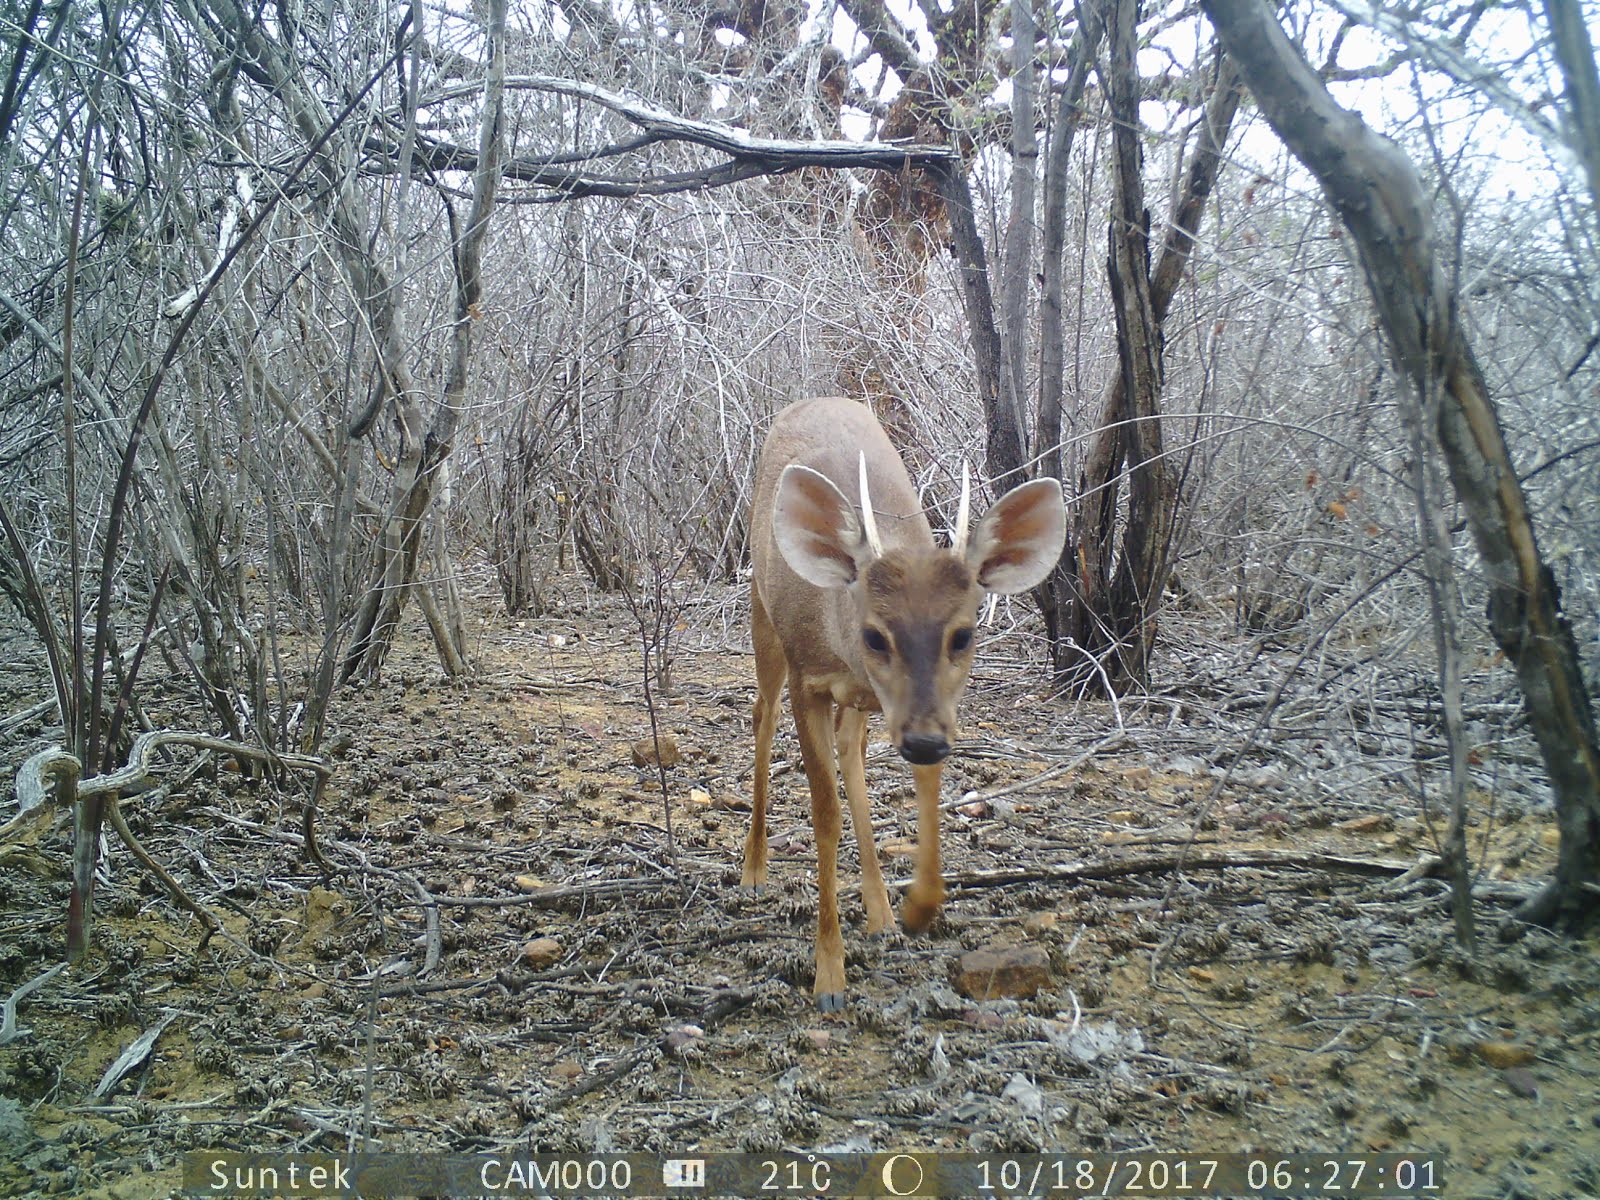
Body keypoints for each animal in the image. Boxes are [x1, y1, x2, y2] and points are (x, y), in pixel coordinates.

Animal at [745, 400, 1068, 1011]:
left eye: (963, 634)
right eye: (875, 635)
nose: (922, 741)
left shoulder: (927, 712)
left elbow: (924, 797)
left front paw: (919, 906)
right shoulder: (808, 679)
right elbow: (825, 815)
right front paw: (829, 976)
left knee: (851, 751)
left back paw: (881, 915)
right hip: (762, 613)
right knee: (762, 718)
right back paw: (753, 868)